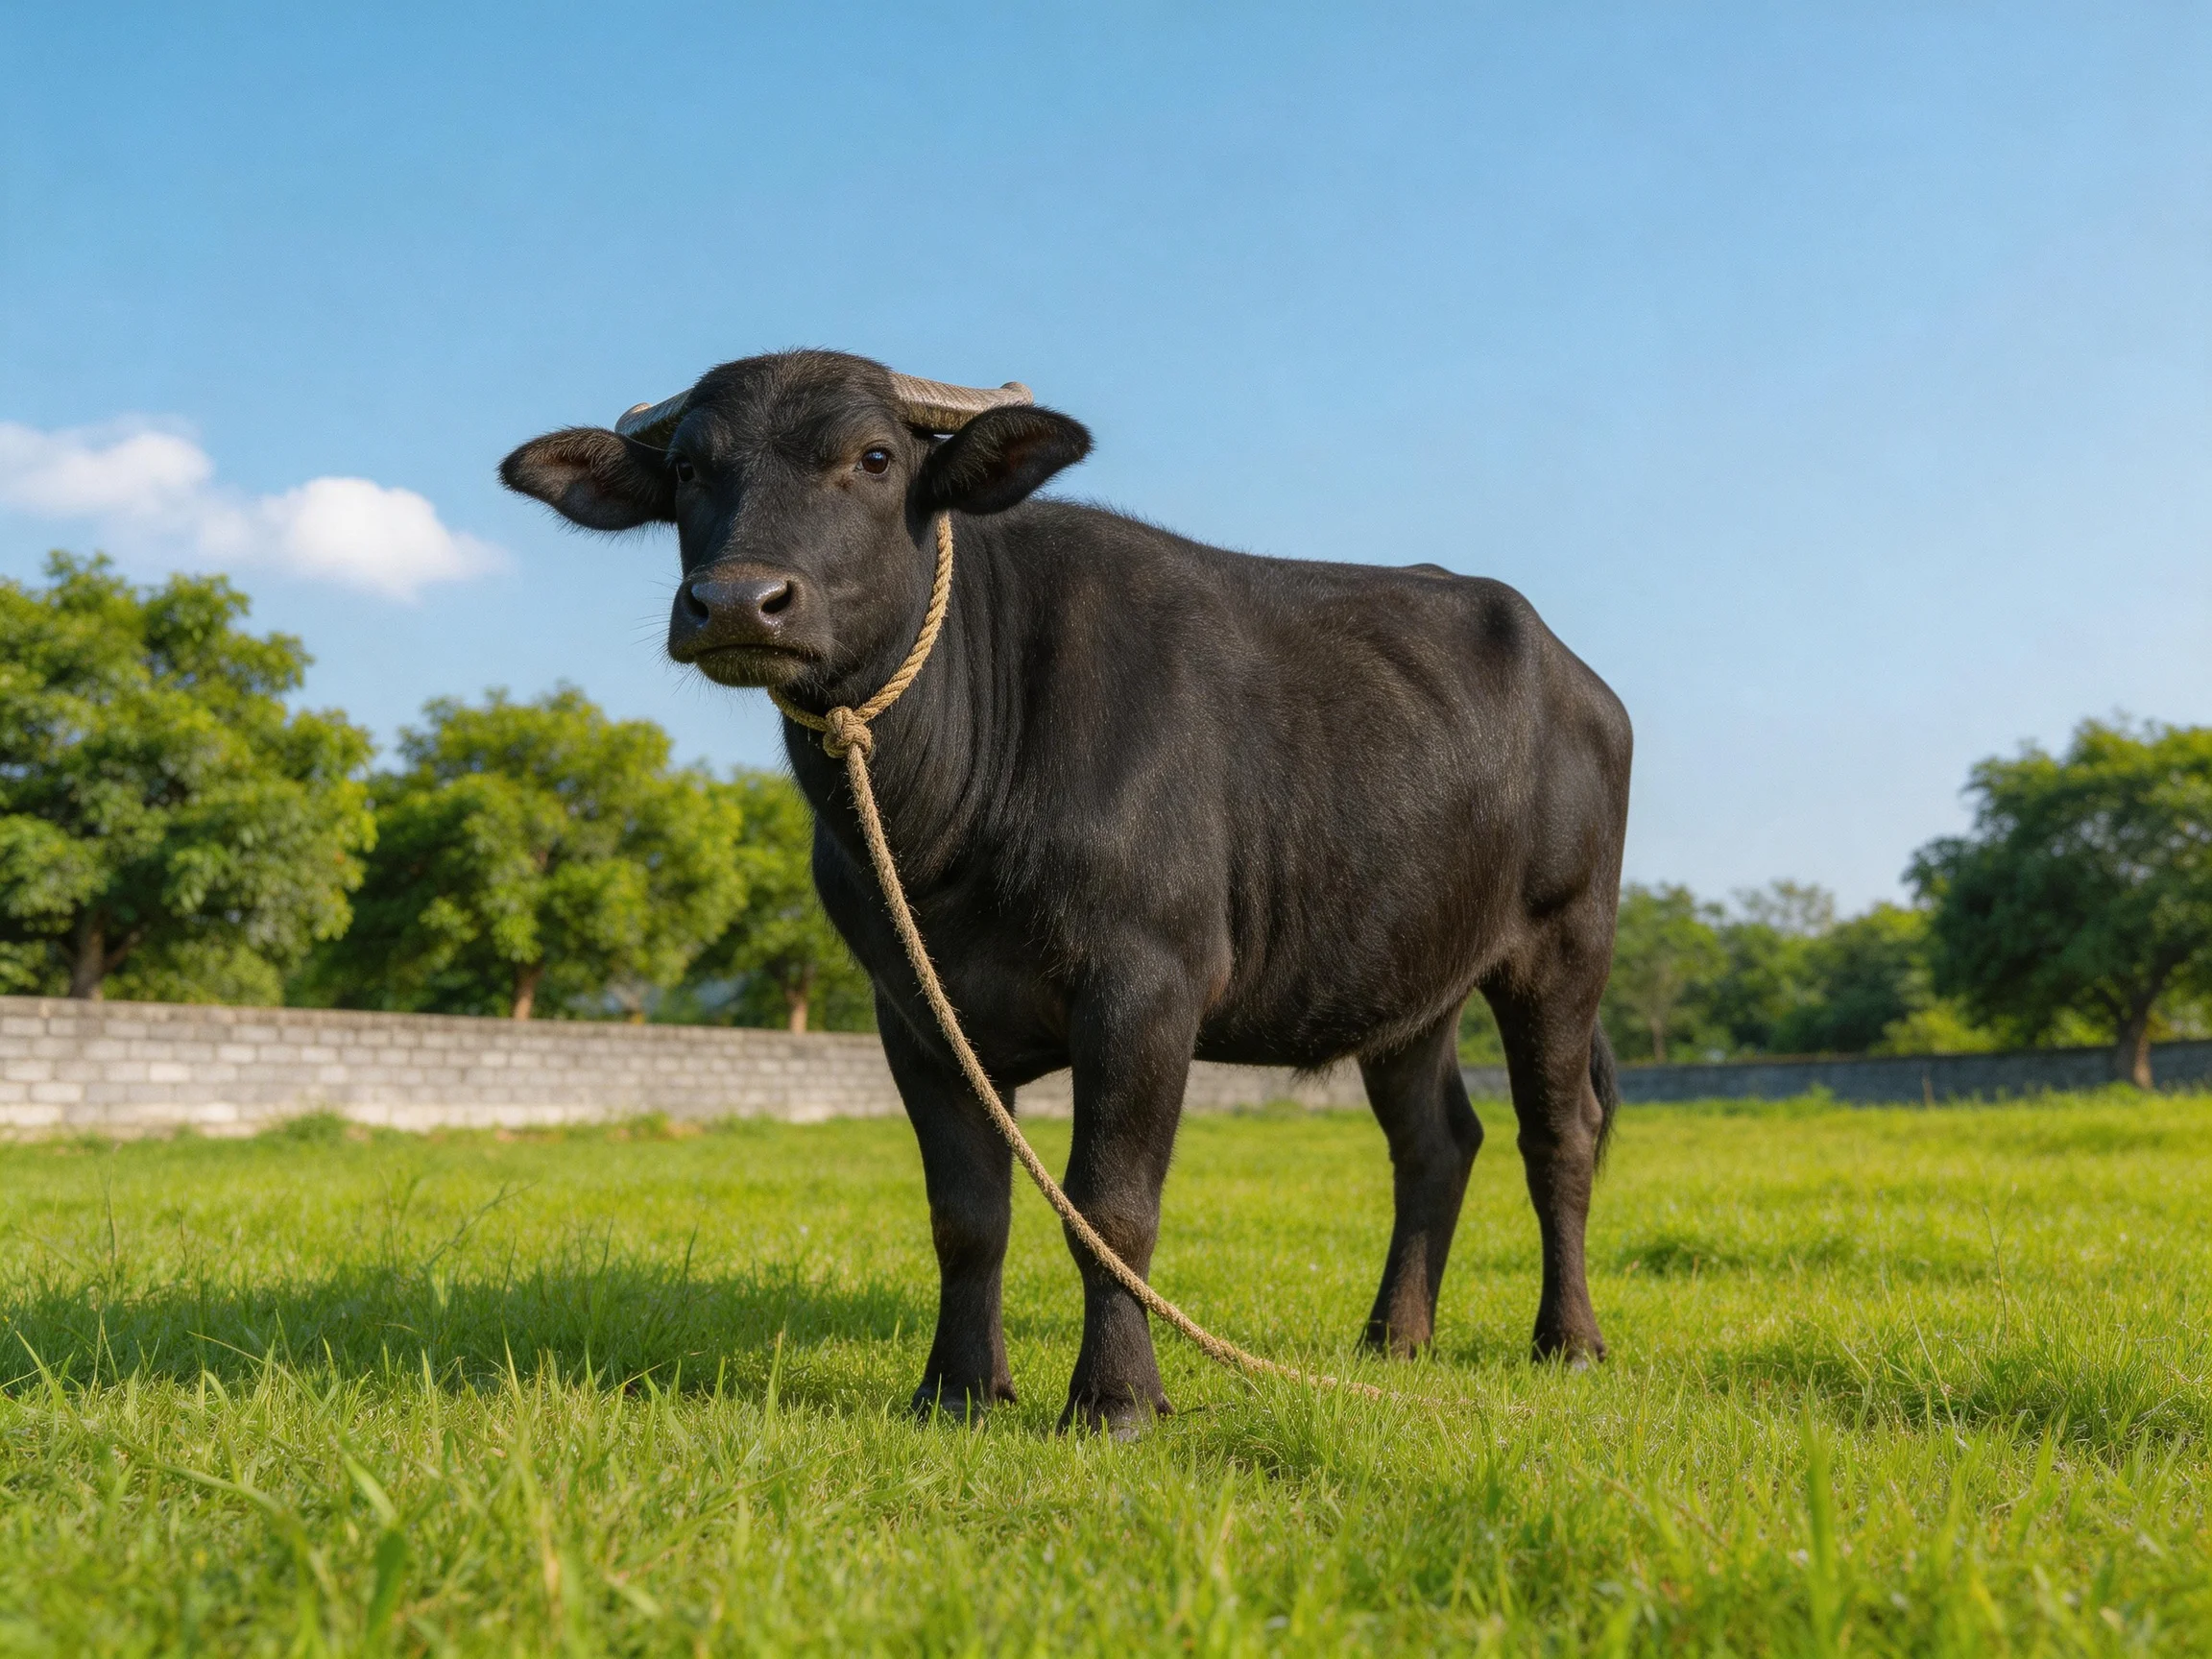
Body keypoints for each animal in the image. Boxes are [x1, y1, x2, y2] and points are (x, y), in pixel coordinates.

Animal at [501, 351, 1632, 1434]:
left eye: (874, 458)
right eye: (691, 469)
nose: (739, 601)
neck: (951, 819)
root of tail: (1583, 683)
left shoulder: (1147, 987)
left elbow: (1112, 1208)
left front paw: (1118, 1399)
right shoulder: (915, 1011)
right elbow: (967, 1214)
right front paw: (958, 1389)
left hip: (1565, 946)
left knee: (1559, 1133)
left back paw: (1569, 1340)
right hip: (1409, 981)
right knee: (1436, 1143)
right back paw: (1394, 1337)